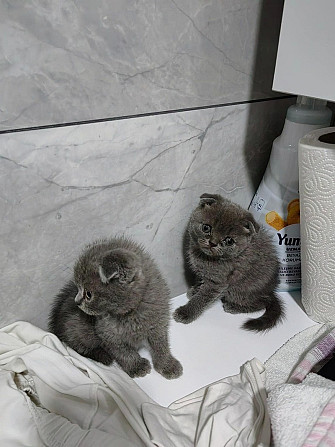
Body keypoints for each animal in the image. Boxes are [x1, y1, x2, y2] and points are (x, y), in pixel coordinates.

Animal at [48, 236, 182, 380]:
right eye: (78, 287)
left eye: (88, 294)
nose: (77, 302)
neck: (130, 314)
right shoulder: (106, 333)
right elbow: (123, 352)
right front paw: (136, 366)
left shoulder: (158, 322)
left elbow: (161, 345)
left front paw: (167, 365)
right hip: (76, 329)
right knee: (78, 347)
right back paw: (102, 355)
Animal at [175, 195, 284, 332]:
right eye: (206, 227)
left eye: (229, 241)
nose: (212, 243)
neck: (205, 257)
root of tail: (270, 292)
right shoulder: (202, 273)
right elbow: (200, 281)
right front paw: (195, 290)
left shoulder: (217, 282)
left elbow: (203, 298)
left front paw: (186, 312)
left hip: (238, 291)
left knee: (262, 303)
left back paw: (234, 307)